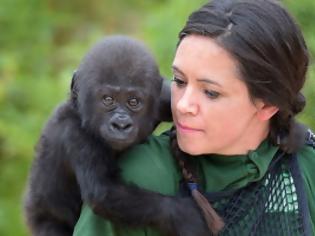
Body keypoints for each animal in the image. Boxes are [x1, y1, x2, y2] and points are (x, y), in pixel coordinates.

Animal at [24, 35, 211, 236]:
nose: (121, 125)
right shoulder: (75, 135)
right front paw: (185, 216)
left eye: (133, 102)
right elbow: (103, 191)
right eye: (108, 99)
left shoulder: (163, 99)